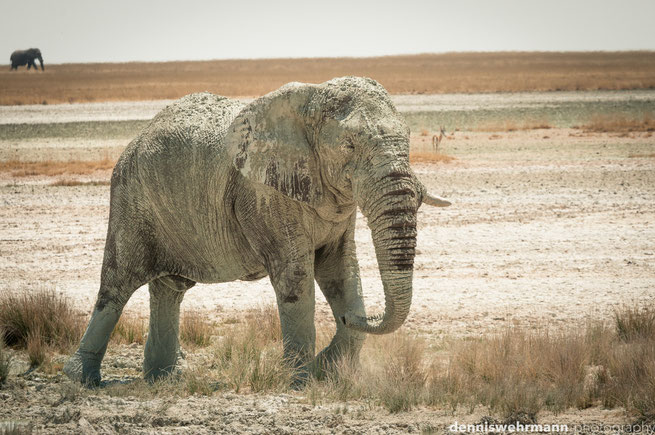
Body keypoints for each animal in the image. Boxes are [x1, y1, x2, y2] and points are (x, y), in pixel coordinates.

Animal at [62, 76, 452, 386]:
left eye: (408, 139)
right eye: (349, 146)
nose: (356, 318)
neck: (311, 103)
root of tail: (136, 138)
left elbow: (341, 271)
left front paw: (329, 365)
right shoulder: (265, 195)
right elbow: (296, 278)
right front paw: (301, 382)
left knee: (169, 289)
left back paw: (166, 377)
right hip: (131, 196)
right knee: (118, 284)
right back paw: (81, 379)